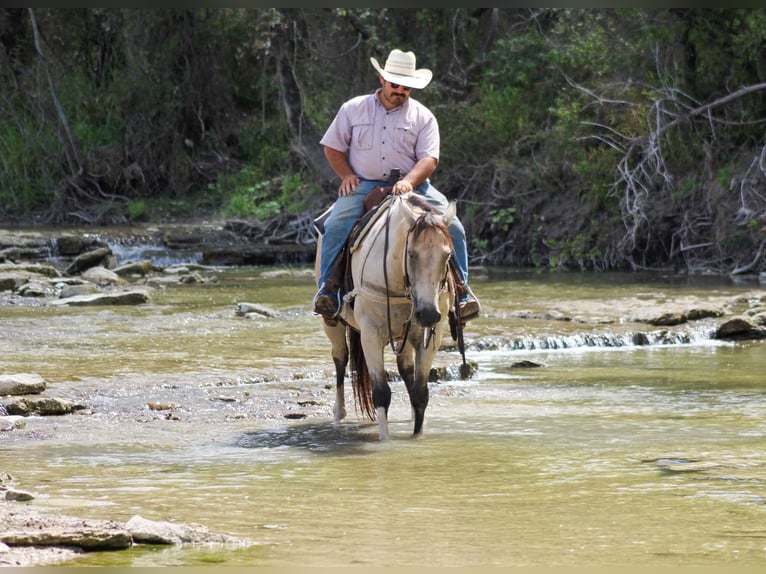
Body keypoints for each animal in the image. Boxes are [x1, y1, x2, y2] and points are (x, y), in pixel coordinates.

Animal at [316, 194, 460, 440]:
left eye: (447, 254)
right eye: (411, 253)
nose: (428, 313)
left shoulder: (431, 336)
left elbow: (420, 393)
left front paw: (418, 437)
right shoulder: (371, 334)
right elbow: (381, 392)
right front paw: (385, 441)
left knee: (406, 369)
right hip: (332, 325)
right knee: (340, 358)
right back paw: (339, 413)